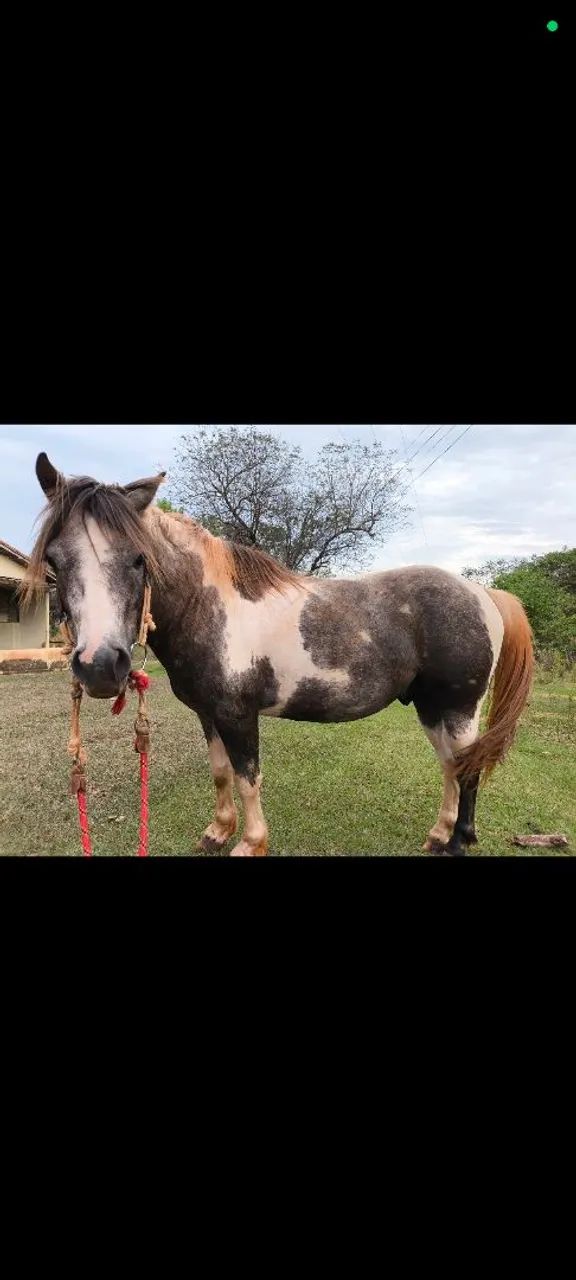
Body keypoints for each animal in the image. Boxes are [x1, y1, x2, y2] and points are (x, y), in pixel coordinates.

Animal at [23, 452, 534, 856]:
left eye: (138, 559)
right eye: (54, 561)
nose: (99, 666)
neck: (209, 606)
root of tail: (481, 593)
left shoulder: (237, 715)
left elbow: (248, 778)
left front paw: (250, 843)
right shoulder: (209, 714)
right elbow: (221, 772)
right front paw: (217, 832)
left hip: (459, 709)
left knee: (468, 770)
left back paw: (458, 842)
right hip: (431, 708)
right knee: (452, 767)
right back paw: (438, 835)